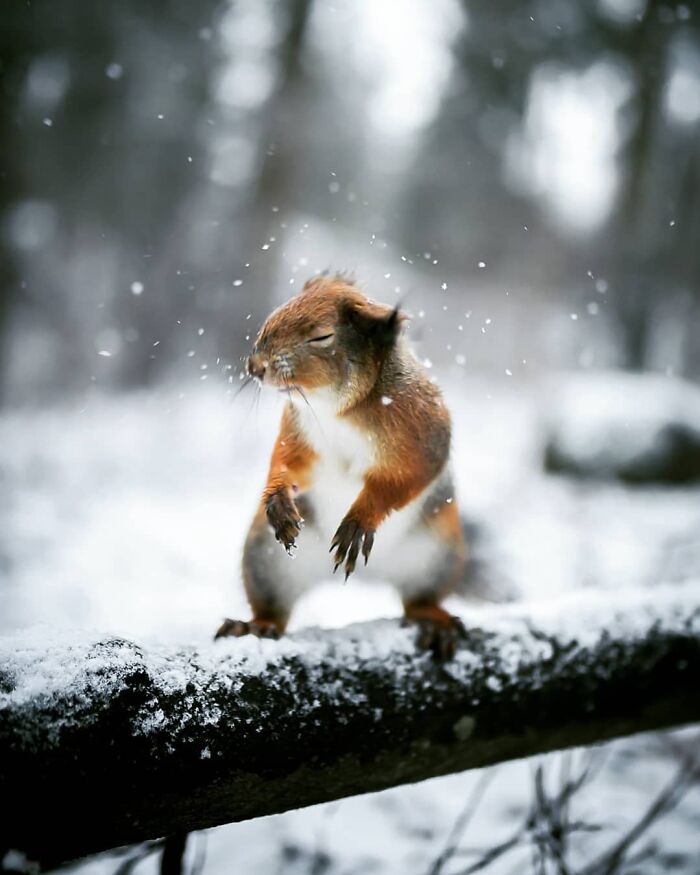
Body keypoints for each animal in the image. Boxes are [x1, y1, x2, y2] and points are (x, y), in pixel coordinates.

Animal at [215, 274, 467, 658]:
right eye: (274, 316)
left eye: (321, 336)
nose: (255, 367)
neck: (336, 407)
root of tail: (369, 578)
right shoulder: (299, 431)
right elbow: (287, 462)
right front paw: (278, 500)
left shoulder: (422, 431)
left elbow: (405, 477)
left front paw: (359, 521)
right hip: (265, 559)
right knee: (275, 608)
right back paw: (256, 625)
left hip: (437, 555)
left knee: (418, 599)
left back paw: (433, 621)